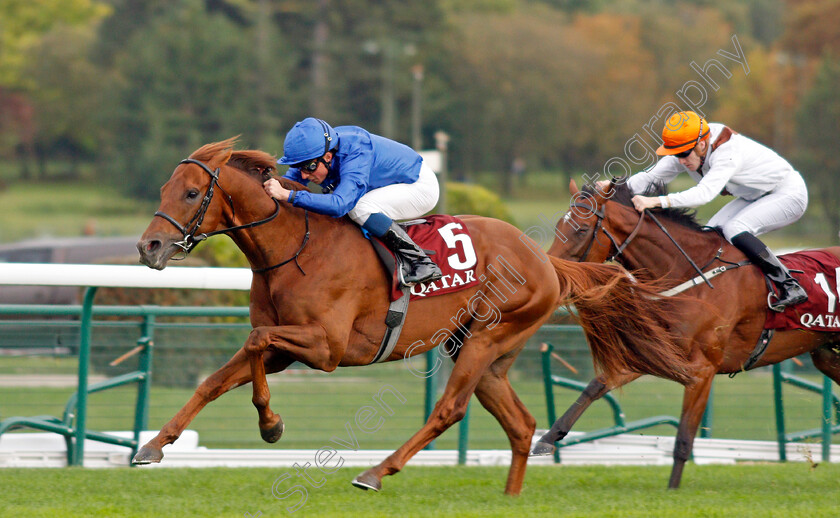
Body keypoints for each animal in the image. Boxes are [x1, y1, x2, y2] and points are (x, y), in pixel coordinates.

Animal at [136, 140, 688, 498]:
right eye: (163, 188)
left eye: (191, 194)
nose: (149, 246)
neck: (295, 246)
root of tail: (544, 260)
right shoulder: (286, 348)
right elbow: (217, 378)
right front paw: (153, 446)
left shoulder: (326, 347)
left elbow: (254, 340)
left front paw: (271, 425)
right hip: (483, 351)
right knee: (521, 423)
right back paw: (509, 497)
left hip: (488, 337)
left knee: (449, 409)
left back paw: (376, 472)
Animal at [532, 182, 840, 492]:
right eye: (559, 226)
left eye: (582, 229)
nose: (551, 275)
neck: (693, 274)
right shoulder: (658, 353)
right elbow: (595, 387)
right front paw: (546, 439)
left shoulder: (702, 370)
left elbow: (684, 437)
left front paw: (672, 489)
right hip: (825, 354)